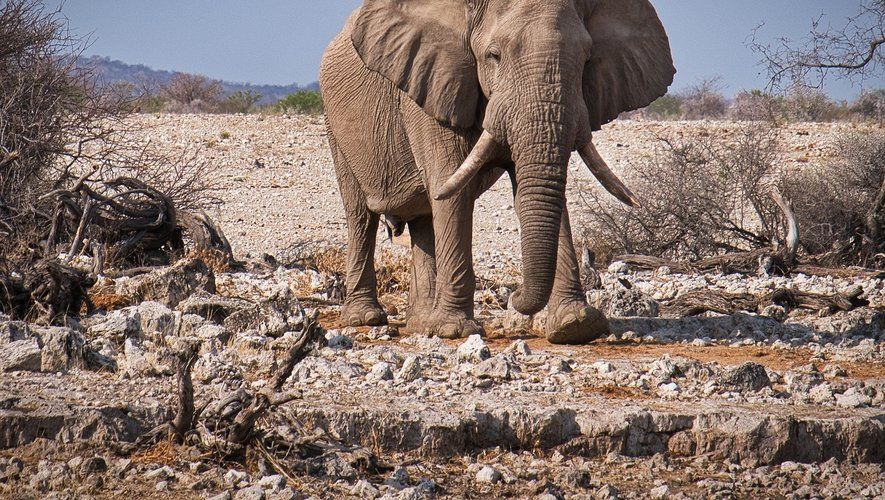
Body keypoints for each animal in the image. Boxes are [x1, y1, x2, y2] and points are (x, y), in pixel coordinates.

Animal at [319, 0, 675, 343]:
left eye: (587, 59)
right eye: (494, 56)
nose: (514, 297)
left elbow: (537, 189)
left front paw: (575, 326)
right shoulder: (432, 87)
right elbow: (452, 189)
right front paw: (454, 331)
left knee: (423, 219)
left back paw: (420, 323)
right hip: (335, 126)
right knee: (361, 216)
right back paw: (366, 318)